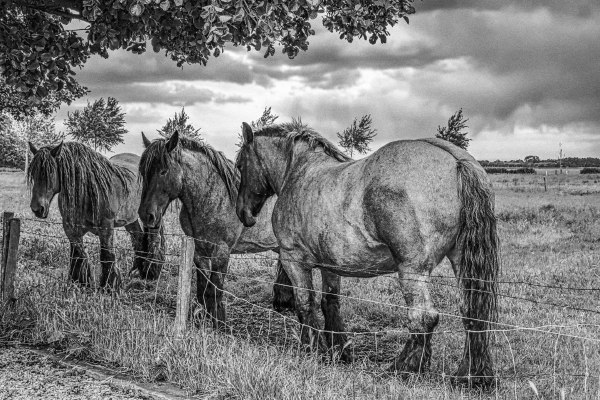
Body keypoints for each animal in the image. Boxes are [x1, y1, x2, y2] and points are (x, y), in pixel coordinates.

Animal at [27, 142, 164, 290]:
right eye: (33, 173)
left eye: (50, 172)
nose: (37, 209)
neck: (86, 192)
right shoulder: (70, 228)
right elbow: (78, 255)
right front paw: (80, 282)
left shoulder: (106, 227)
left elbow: (106, 255)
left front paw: (110, 287)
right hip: (130, 220)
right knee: (138, 238)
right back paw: (140, 270)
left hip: (152, 217)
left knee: (154, 239)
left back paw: (152, 271)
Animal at [136, 133, 296, 326]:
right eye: (143, 172)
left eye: (163, 171)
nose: (146, 216)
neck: (213, 197)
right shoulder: (199, 251)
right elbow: (203, 290)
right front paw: (203, 320)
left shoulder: (221, 252)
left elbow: (215, 290)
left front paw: (219, 323)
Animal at [234, 119, 502, 388]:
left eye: (239, 165)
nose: (243, 214)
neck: (300, 172)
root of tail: (455, 159)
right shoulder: (330, 264)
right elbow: (329, 302)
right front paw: (339, 350)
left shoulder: (293, 259)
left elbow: (305, 305)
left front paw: (313, 350)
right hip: (460, 260)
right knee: (472, 312)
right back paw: (471, 375)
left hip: (412, 270)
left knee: (424, 317)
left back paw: (403, 368)